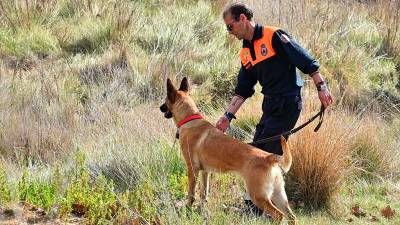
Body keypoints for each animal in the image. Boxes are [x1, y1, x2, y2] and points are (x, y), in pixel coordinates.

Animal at [160, 77, 296, 223]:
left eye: (165, 100)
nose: (160, 108)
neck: (189, 119)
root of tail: (269, 157)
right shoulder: (205, 172)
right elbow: (203, 194)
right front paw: (201, 212)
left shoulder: (192, 169)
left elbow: (191, 195)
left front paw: (188, 211)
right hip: (278, 195)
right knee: (291, 216)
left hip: (258, 196)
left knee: (279, 215)